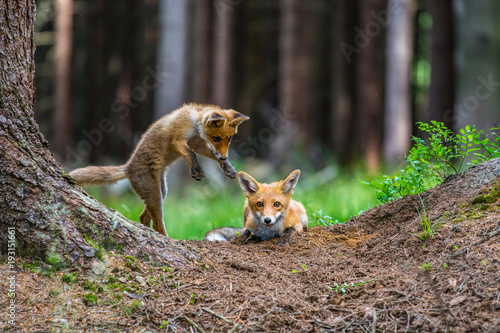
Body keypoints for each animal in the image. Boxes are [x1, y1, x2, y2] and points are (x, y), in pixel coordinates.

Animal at [69, 104, 249, 236]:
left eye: (229, 139)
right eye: (216, 138)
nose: (224, 157)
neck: (194, 123)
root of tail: (128, 167)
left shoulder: (198, 144)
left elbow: (209, 154)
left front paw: (228, 168)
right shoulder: (178, 140)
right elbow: (191, 155)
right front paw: (197, 171)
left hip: (161, 192)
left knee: (143, 217)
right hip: (155, 195)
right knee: (157, 223)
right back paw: (168, 239)